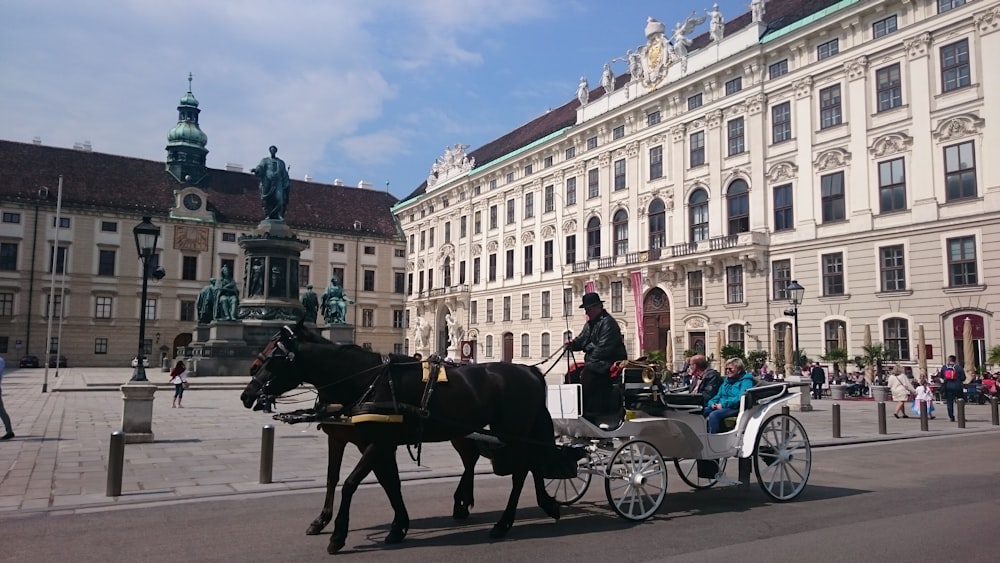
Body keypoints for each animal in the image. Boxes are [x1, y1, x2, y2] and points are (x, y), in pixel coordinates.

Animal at [240, 322, 572, 556]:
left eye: (274, 358)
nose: (247, 393)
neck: (368, 380)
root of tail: (530, 371)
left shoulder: (376, 443)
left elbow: (350, 483)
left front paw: (337, 535)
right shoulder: (374, 443)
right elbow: (384, 482)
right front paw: (397, 526)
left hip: (512, 431)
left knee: (520, 471)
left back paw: (503, 523)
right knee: (523, 464)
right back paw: (539, 506)